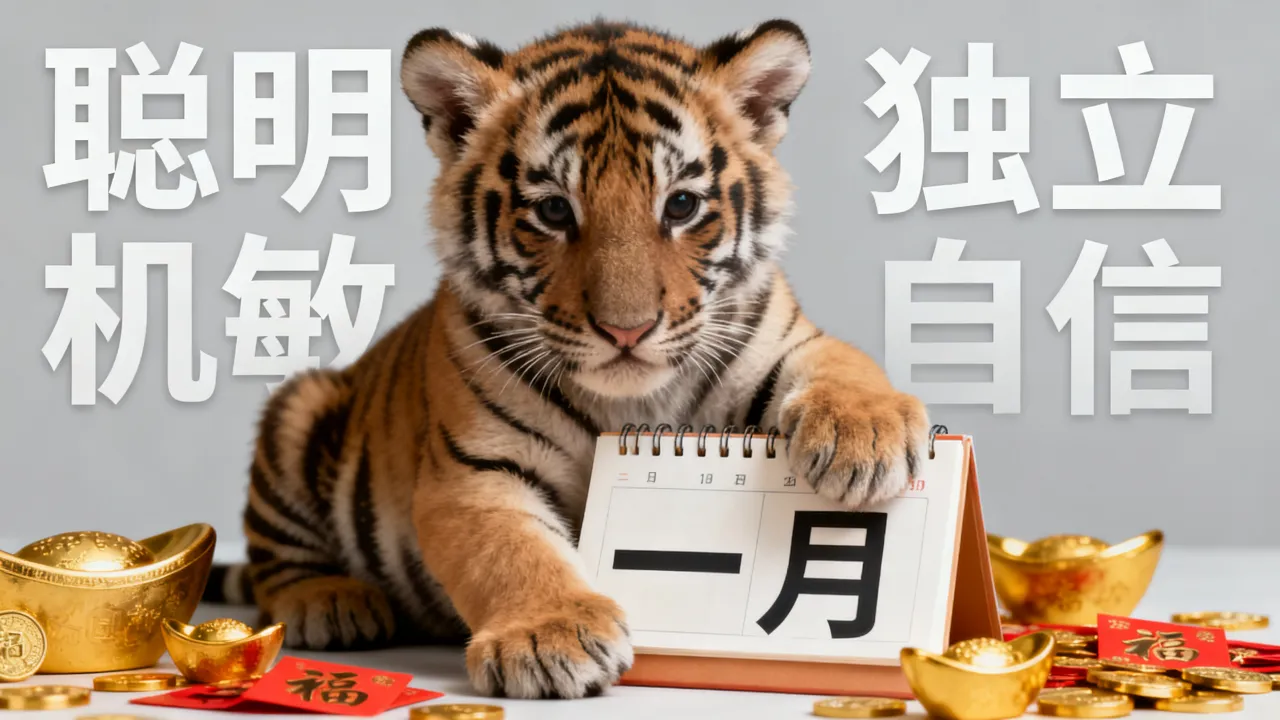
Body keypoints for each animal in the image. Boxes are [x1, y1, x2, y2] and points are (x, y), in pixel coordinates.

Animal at [203, 18, 930, 700]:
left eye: (681, 204)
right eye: (554, 210)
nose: (626, 330)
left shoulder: (780, 339)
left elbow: (844, 363)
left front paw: (865, 439)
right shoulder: (472, 471)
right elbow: (511, 551)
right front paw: (548, 637)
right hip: (298, 410)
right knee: (275, 564)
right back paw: (331, 601)